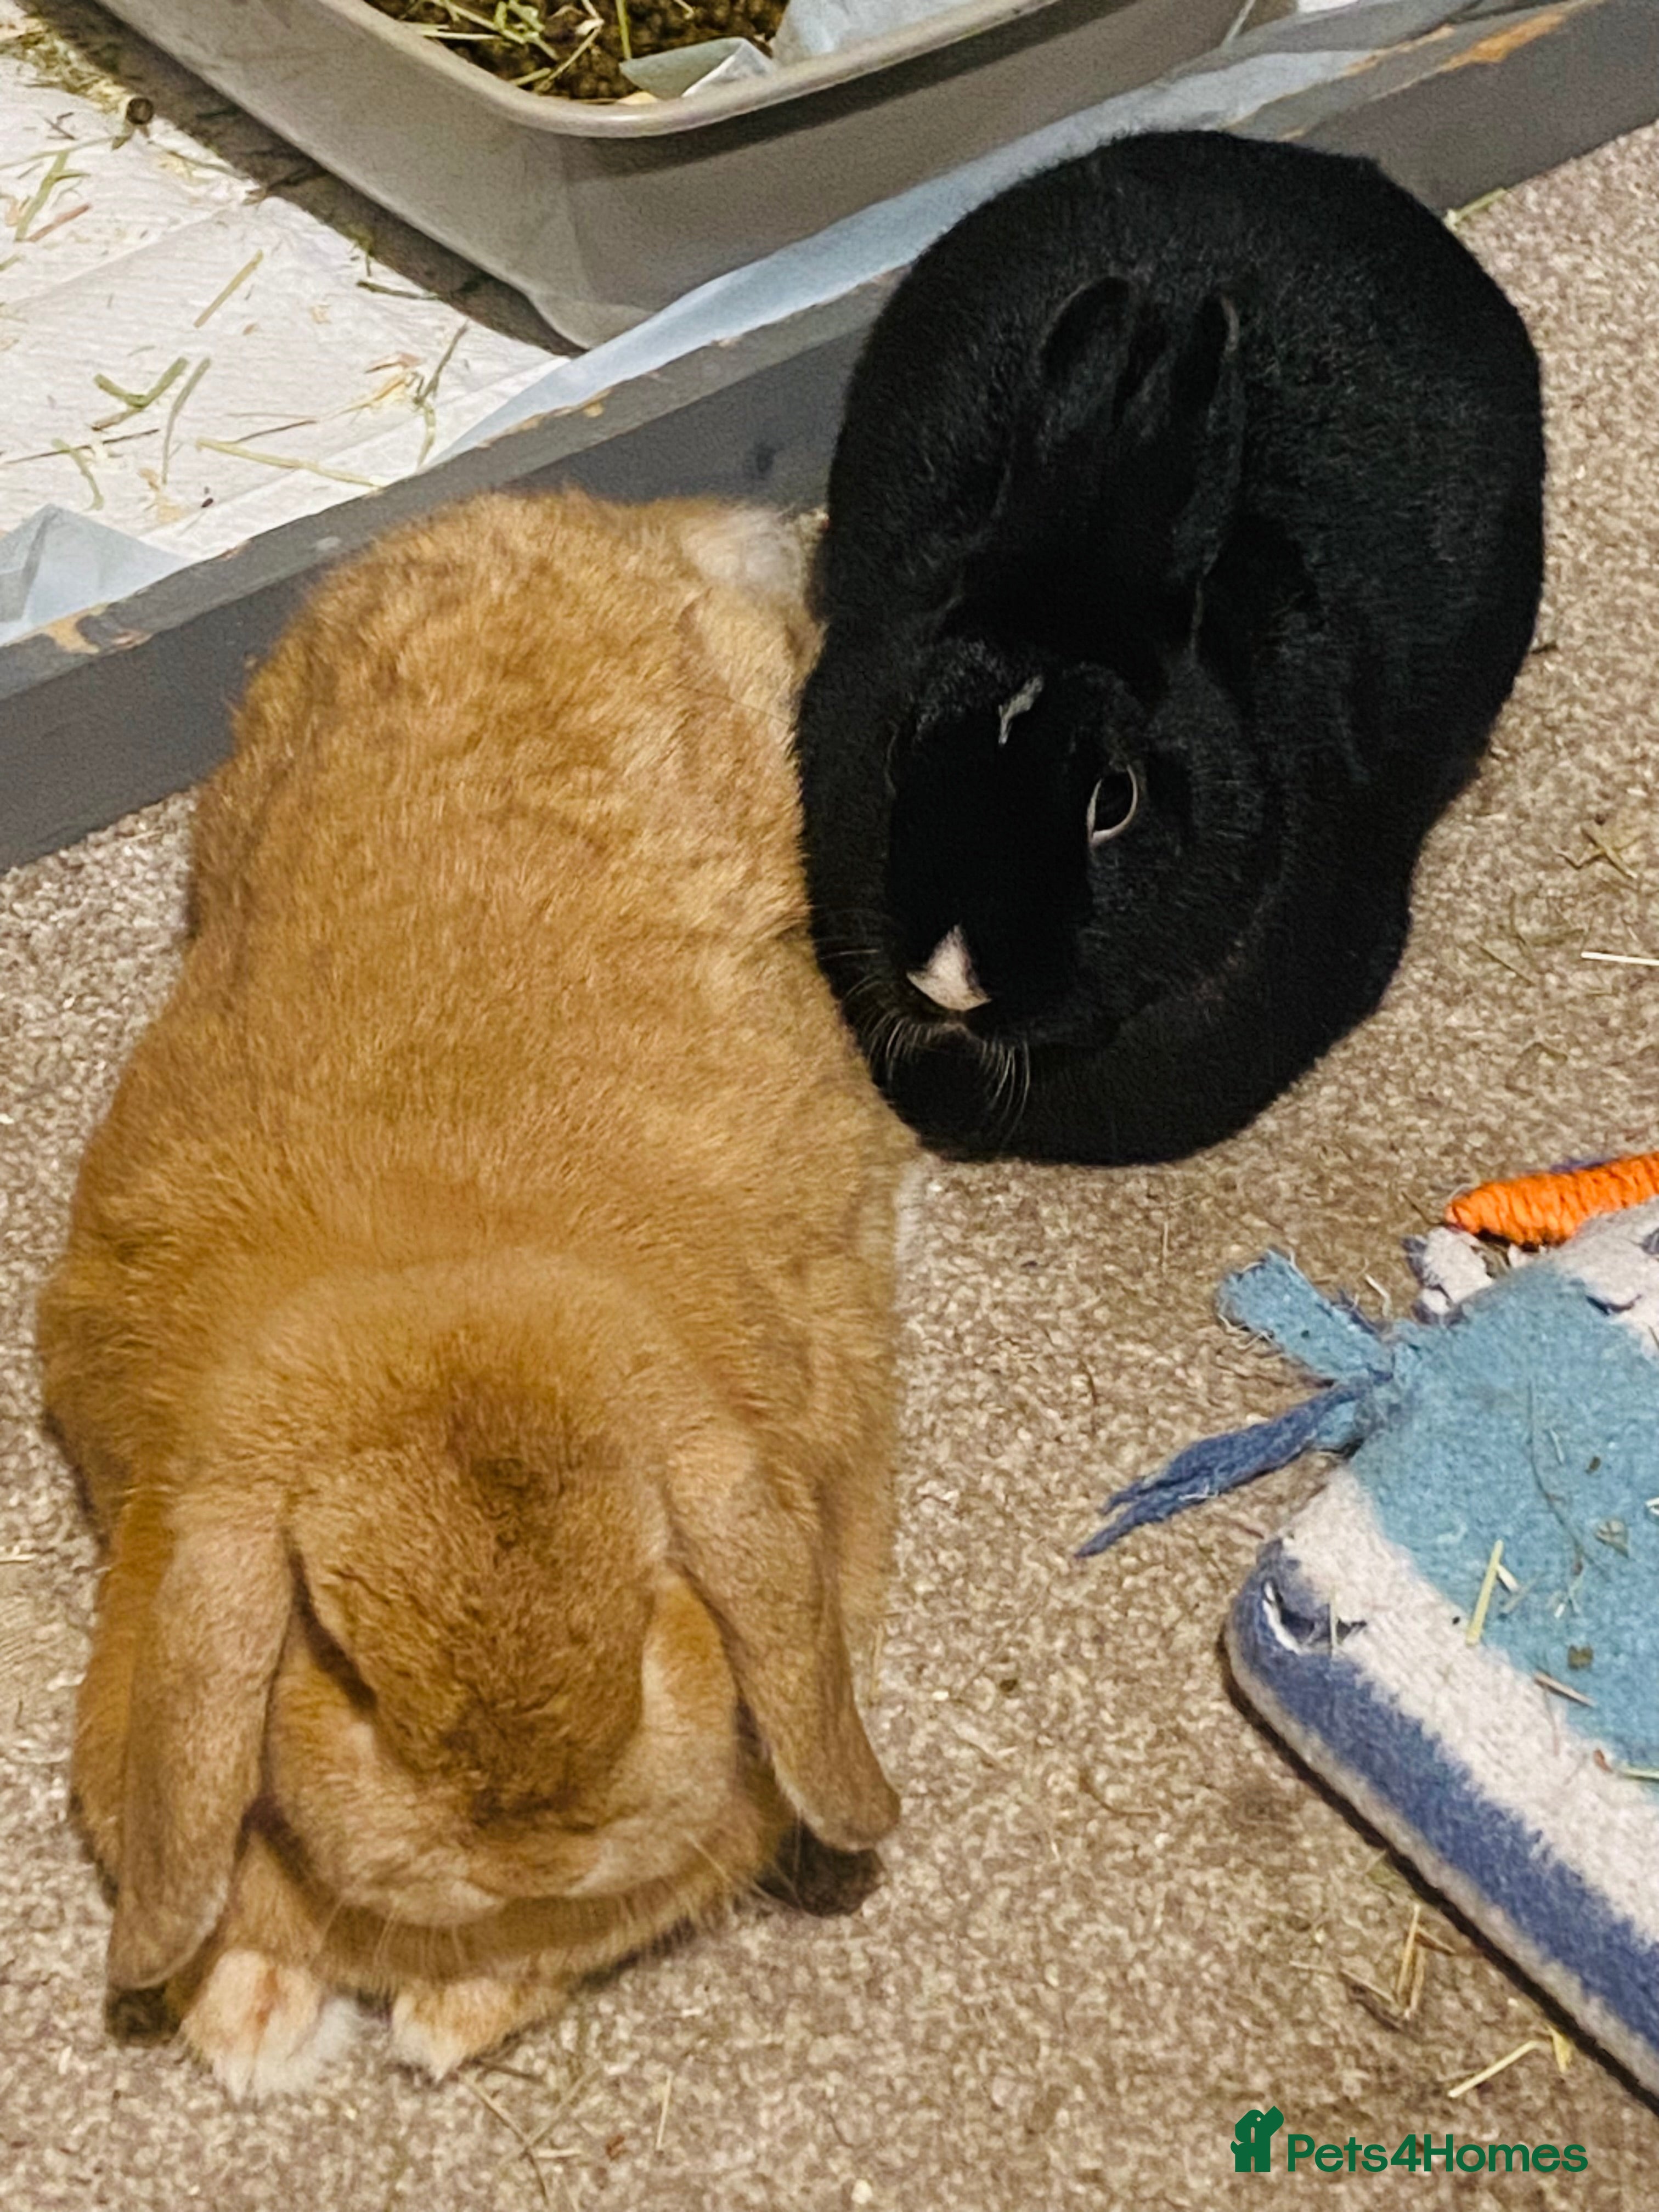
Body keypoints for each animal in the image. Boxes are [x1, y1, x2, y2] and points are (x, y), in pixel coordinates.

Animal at [37, 487, 915, 2100]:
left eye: (655, 1603)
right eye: (341, 1666)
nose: (529, 1861)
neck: (443, 1277)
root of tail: (575, 517)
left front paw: (439, 2029)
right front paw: (250, 2028)